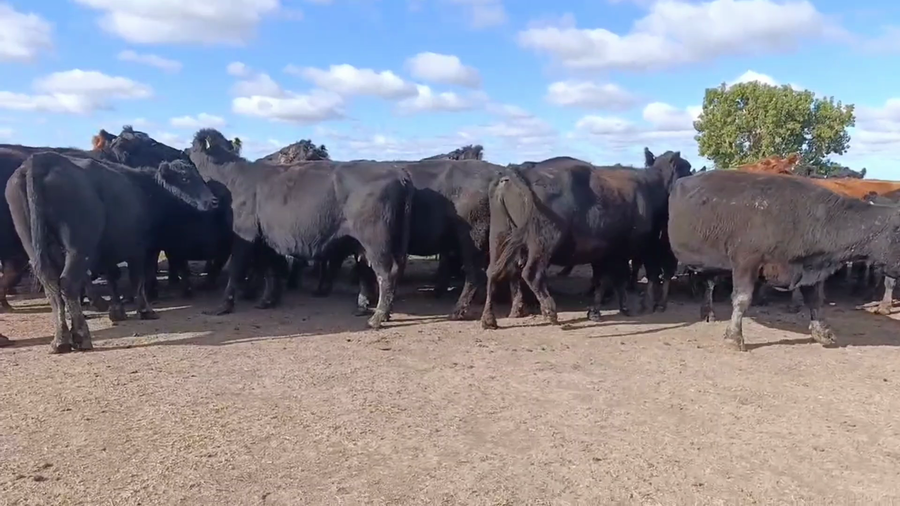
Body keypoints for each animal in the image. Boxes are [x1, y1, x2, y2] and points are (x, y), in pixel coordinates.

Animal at [5, 152, 218, 353]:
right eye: (185, 178)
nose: (213, 201)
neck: (145, 189)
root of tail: (39, 160)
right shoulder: (141, 248)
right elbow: (139, 278)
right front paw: (145, 309)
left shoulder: (108, 249)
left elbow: (112, 277)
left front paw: (117, 311)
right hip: (78, 247)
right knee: (68, 283)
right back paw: (81, 336)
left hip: (34, 246)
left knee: (51, 285)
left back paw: (60, 340)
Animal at [188, 129, 414, 329]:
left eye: (190, 153)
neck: (233, 179)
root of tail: (397, 171)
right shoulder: (266, 239)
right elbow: (270, 268)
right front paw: (267, 300)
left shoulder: (244, 233)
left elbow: (236, 269)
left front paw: (223, 305)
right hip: (379, 243)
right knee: (378, 270)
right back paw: (371, 310)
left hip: (376, 241)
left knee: (385, 273)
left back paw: (378, 317)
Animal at [480, 150, 692, 329]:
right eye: (687, 168)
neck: (651, 186)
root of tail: (518, 171)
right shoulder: (639, 247)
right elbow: (629, 276)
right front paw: (636, 306)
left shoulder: (607, 252)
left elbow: (606, 279)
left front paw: (600, 309)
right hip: (543, 242)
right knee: (531, 273)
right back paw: (550, 312)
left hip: (499, 235)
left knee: (493, 271)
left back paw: (488, 319)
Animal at [668, 169, 900, 351]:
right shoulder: (745, 261)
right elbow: (742, 299)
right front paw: (734, 338)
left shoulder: (811, 268)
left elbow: (815, 300)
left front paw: (822, 332)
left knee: (708, 281)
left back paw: (707, 311)